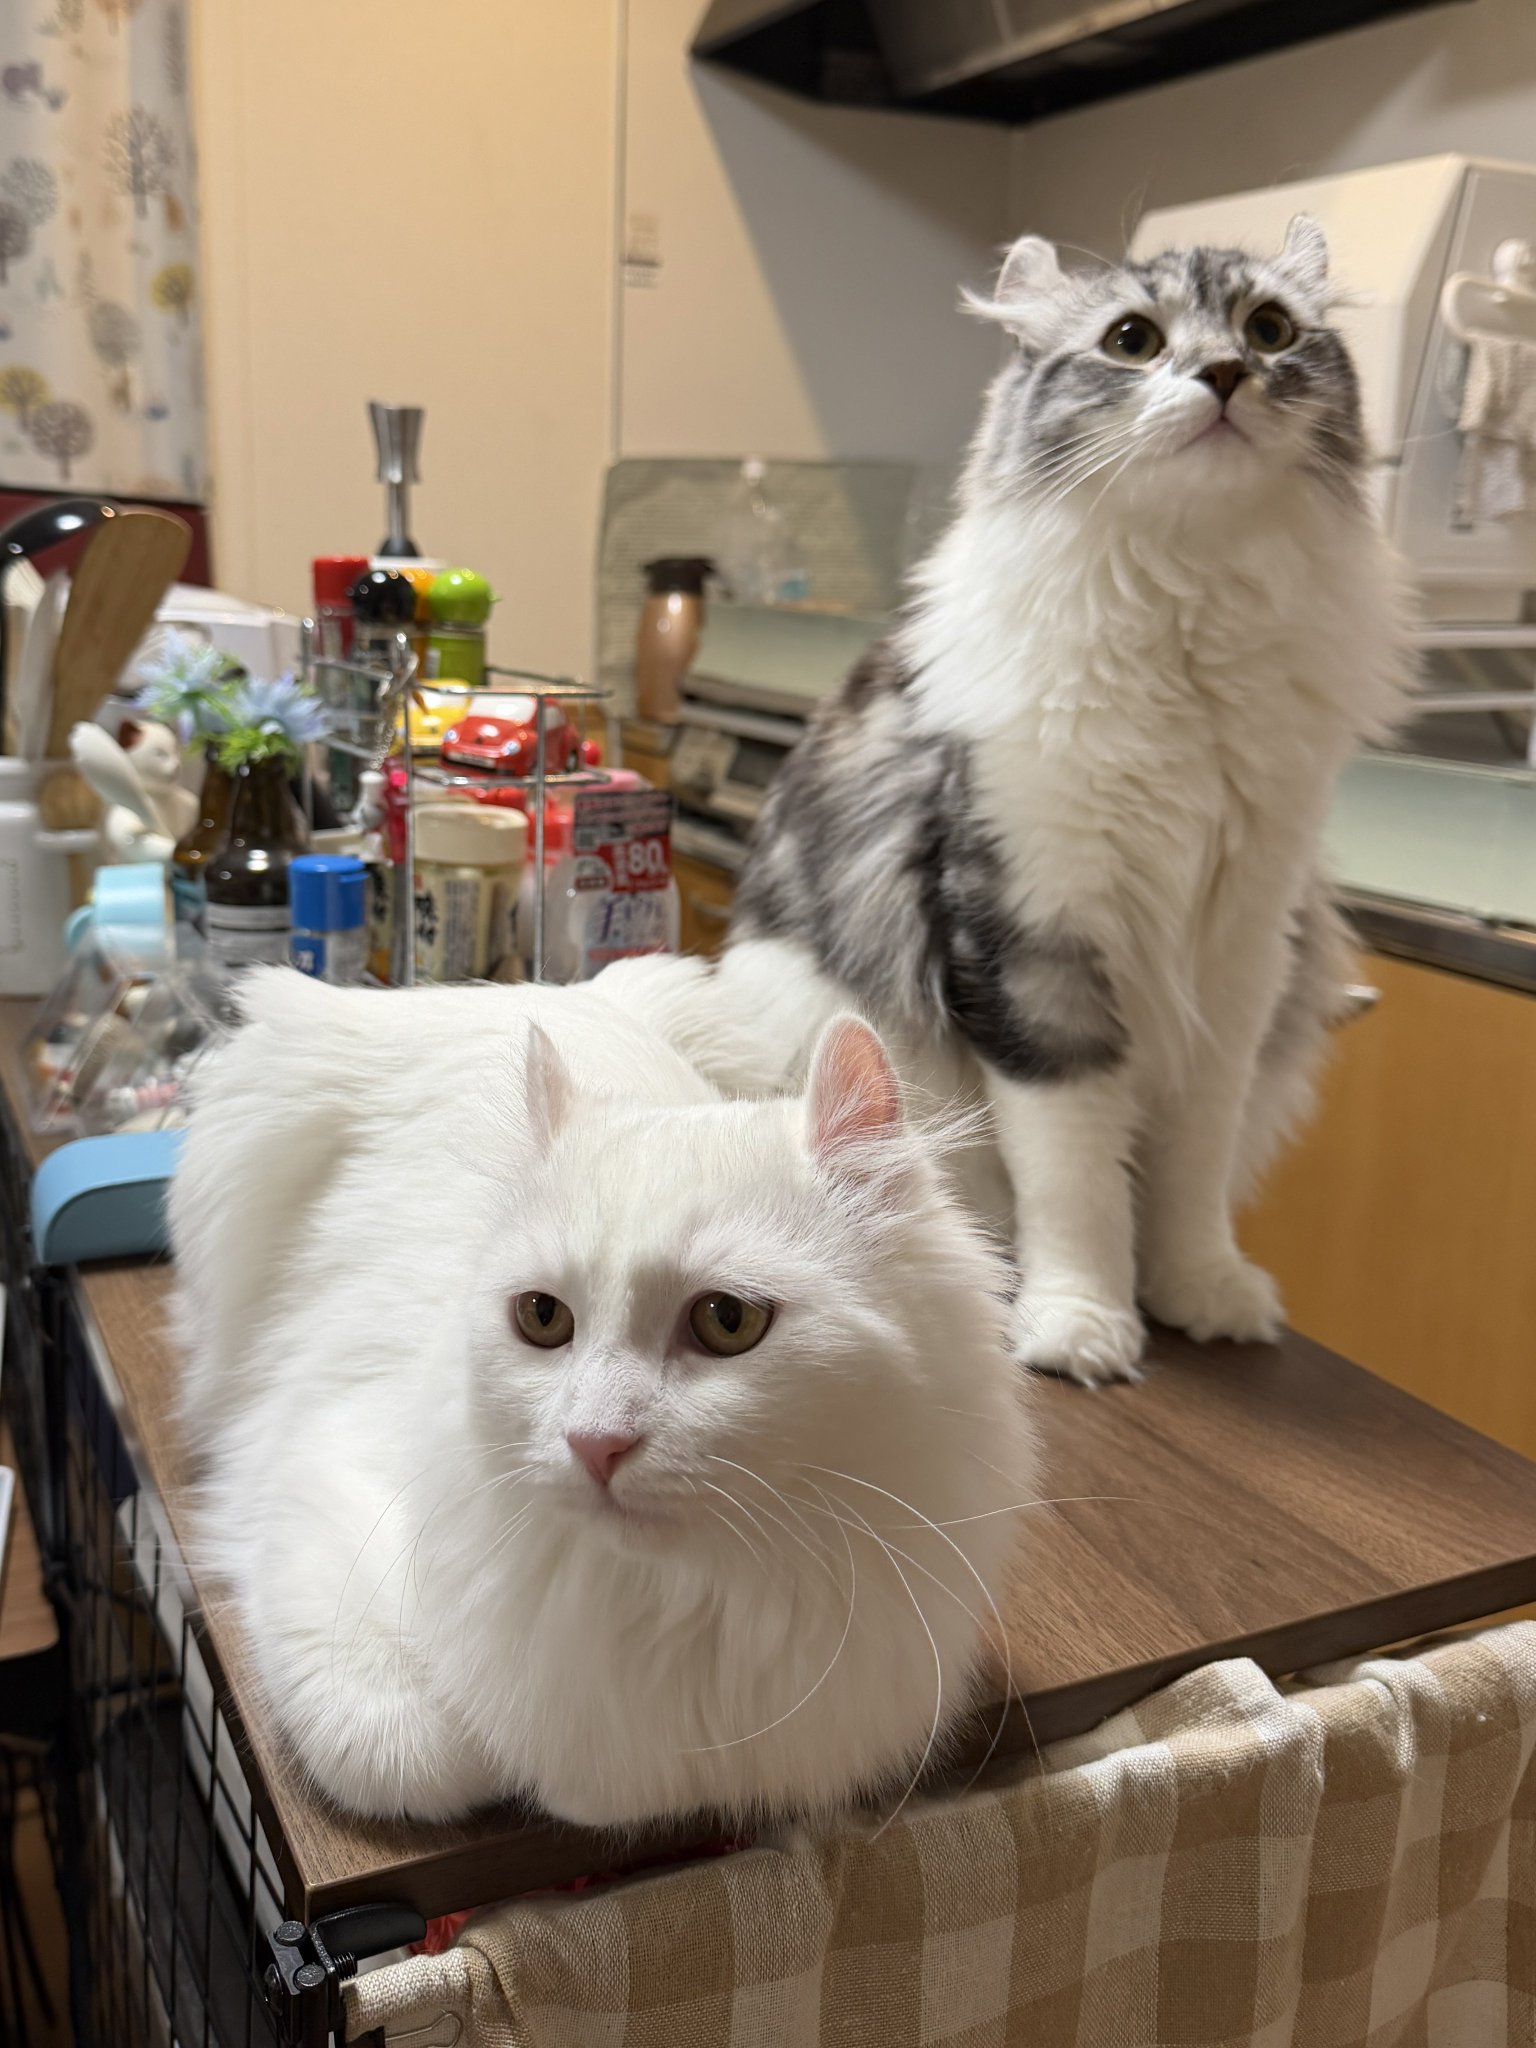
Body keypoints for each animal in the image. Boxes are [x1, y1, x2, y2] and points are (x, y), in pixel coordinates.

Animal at [171, 968, 1036, 1826]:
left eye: (728, 1321)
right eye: (542, 1318)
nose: (594, 1443)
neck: (687, 1602)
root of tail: (553, 984)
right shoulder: (324, 1489)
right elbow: (415, 1755)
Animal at [622, 220, 1413, 1387]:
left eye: (1271, 329)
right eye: (1133, 340)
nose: (1226, 373)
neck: (1189, 612)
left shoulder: (1238, 957)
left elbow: (1191, 1171)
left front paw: (1199, 1290)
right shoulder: (1036, 949)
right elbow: (1073, 1181)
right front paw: (1081, 1322)